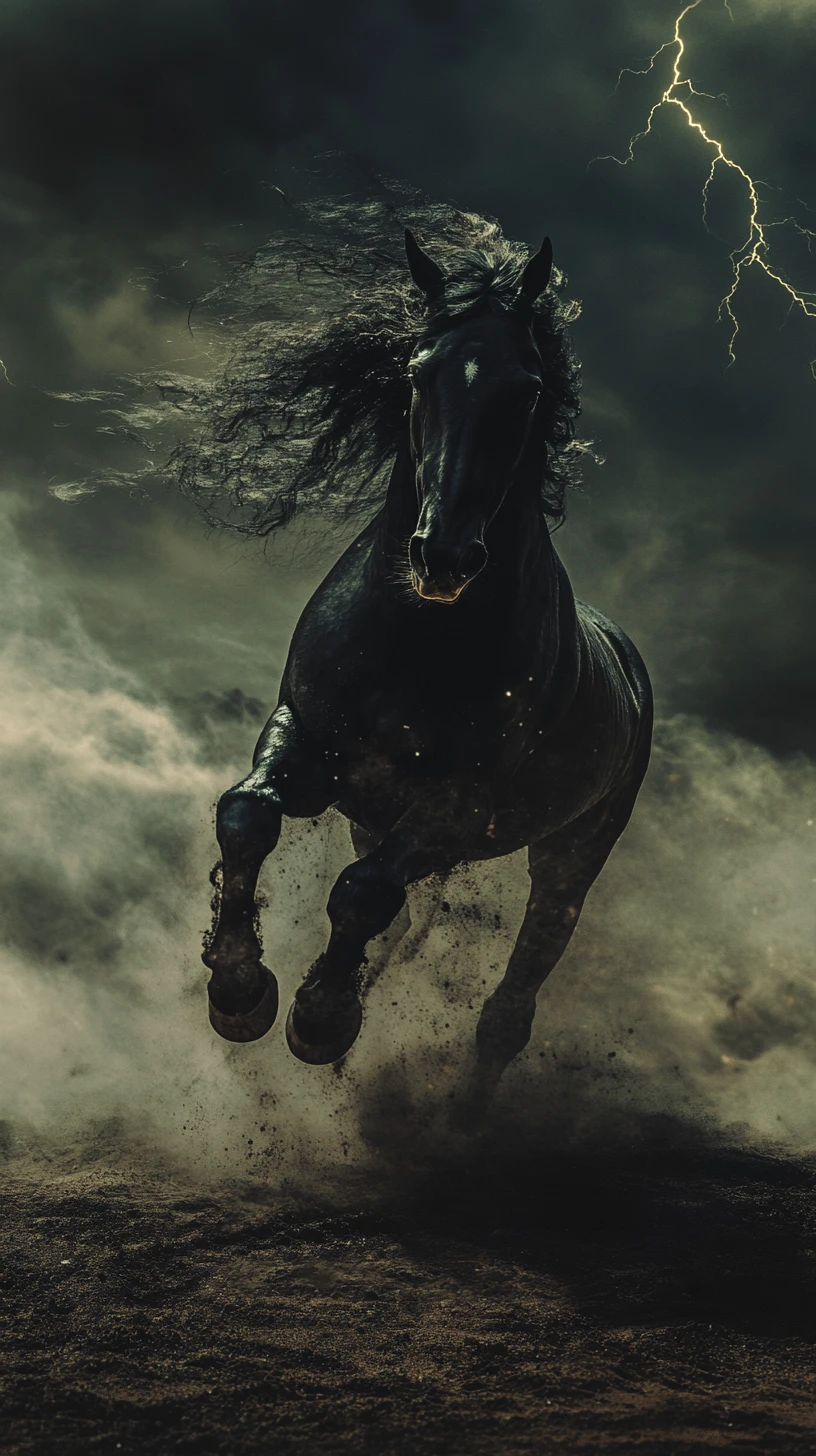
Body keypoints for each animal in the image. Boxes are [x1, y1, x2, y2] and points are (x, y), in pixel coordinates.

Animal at [200, 210, 653, 1106]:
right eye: (417, 372)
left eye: (528, 387)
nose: (442, 556)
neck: (413, 639)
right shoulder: (309, 744)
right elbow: (246, 813)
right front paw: (240, 994)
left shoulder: (459, 809)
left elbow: (364, 893)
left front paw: (319, 1022)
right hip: (372, 816)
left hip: (568, 857)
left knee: (511, 1002)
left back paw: (459, 1120)